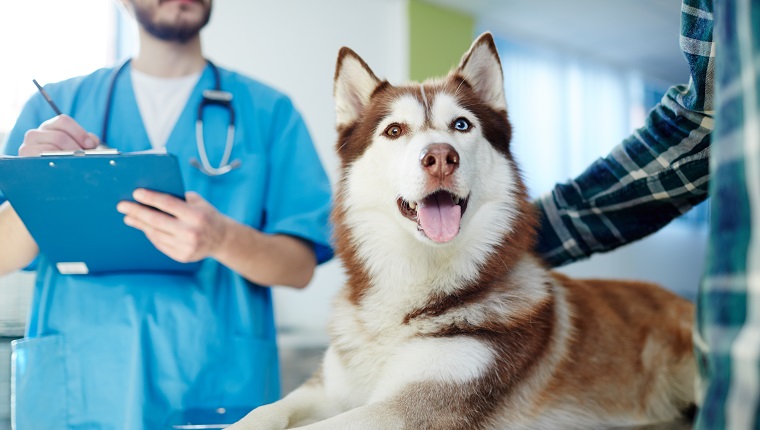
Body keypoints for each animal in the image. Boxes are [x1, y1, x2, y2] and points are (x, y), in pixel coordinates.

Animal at [230, 31, 696, 428]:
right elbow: (265, 411)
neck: (411, 290)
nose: (439, 156)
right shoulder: (326, 390)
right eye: (394, 130)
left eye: (461, 125)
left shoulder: (416, 405)